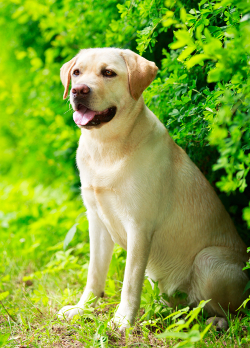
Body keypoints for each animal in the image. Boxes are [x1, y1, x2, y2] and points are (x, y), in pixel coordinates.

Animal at [58, 47, 248, 330]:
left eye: (108, 73)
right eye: (77, 72)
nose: (78, 90)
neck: (106, 148)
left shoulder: (139, 227)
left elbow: (129, 282)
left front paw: (122, 320)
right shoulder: (97, 222)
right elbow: (94, 274)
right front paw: (82, 309)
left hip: (208, 260)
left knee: (234, 312)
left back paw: (217, 322)